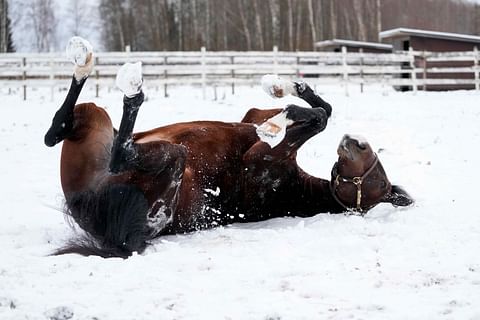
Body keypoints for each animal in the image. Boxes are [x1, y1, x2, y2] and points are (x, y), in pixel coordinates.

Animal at [46, 58, 412, 258]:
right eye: (377, 167)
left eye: (376, 179)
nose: (357, 142)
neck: (293, 188)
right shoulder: (251, 116)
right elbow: (323, 109)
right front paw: (287, 88)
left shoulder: (258, 160)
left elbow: (318, 117)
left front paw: (280, 120)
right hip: (95, 119)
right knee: (55, 130)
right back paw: (85, 62)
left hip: (168, 159)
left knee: (117, 152)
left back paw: (131, 90)